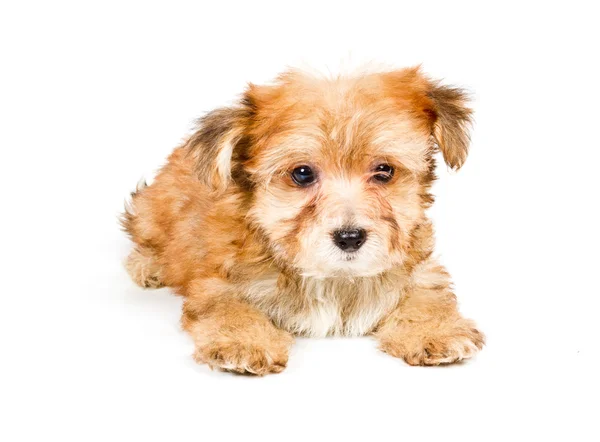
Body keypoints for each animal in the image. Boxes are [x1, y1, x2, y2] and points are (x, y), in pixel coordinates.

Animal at [120, 67, 482, 374]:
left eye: (384, 171)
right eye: (303, 173)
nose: (350, 237)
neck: (333, 277)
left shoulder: (420, 270)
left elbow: (428, 297)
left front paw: (435, 331)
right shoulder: (217, 281)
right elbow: (229, 308)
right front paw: (245, 342)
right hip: (152, 210)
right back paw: (148, 265)